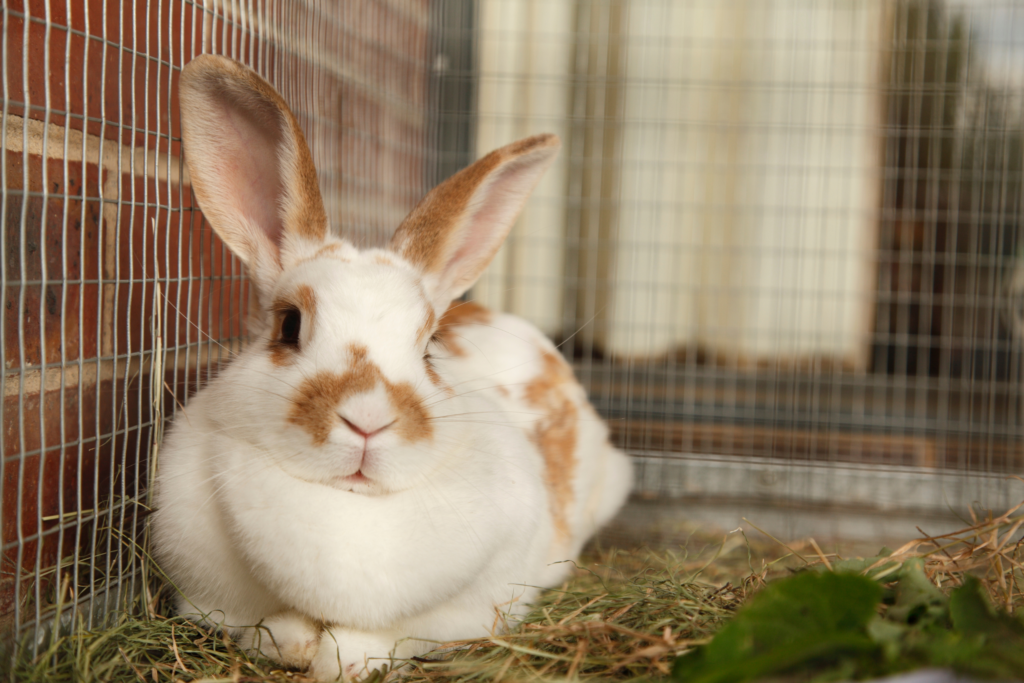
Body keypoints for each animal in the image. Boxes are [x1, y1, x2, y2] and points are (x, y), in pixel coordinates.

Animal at [151, 54, 630, 683]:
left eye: (429, 346)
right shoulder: (207, 593)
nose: (367, 420)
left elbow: (390, 638)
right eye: (289, 326)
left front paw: (343, 656)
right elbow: (268, 630)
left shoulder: (473, 606)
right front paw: (297, 642)